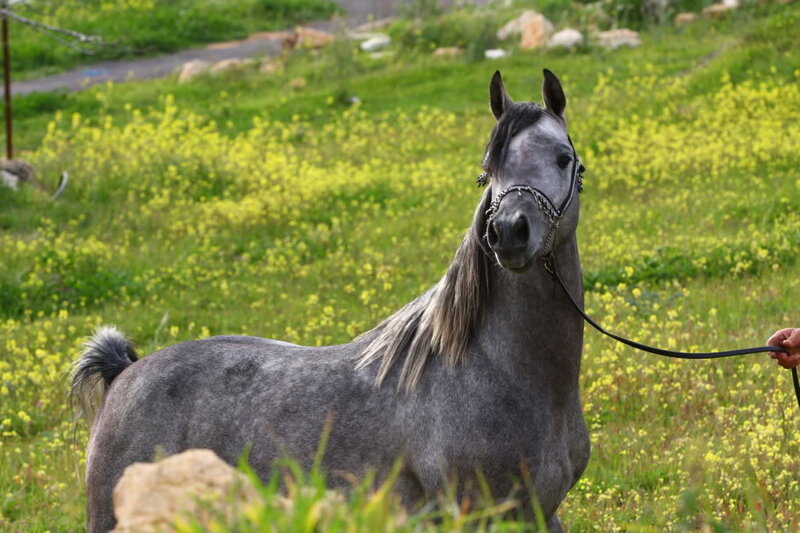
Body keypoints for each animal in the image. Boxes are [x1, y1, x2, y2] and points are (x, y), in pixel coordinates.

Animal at [71, 69, 590, 533]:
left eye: (565, 158)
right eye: (487, 173)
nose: (508, 232)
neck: (493, 369)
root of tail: (124, 375)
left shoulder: (543, 515)